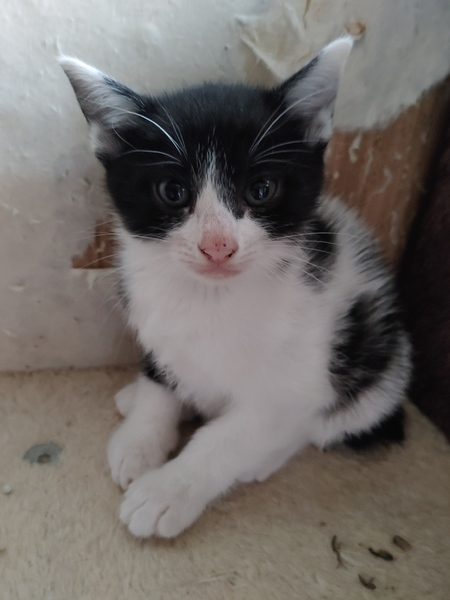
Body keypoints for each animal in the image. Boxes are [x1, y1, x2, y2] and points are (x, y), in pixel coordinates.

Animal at [60, 37, 411, 539]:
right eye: (172, 191)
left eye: (261, 190)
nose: (218, 245)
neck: (211, 299)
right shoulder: (155, 321)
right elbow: (159, 377)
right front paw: (141, 437)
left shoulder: (297, 383)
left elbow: (228, 437)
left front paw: (166, 491)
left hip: (376, 371)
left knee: (319, 427)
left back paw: (261, 462)